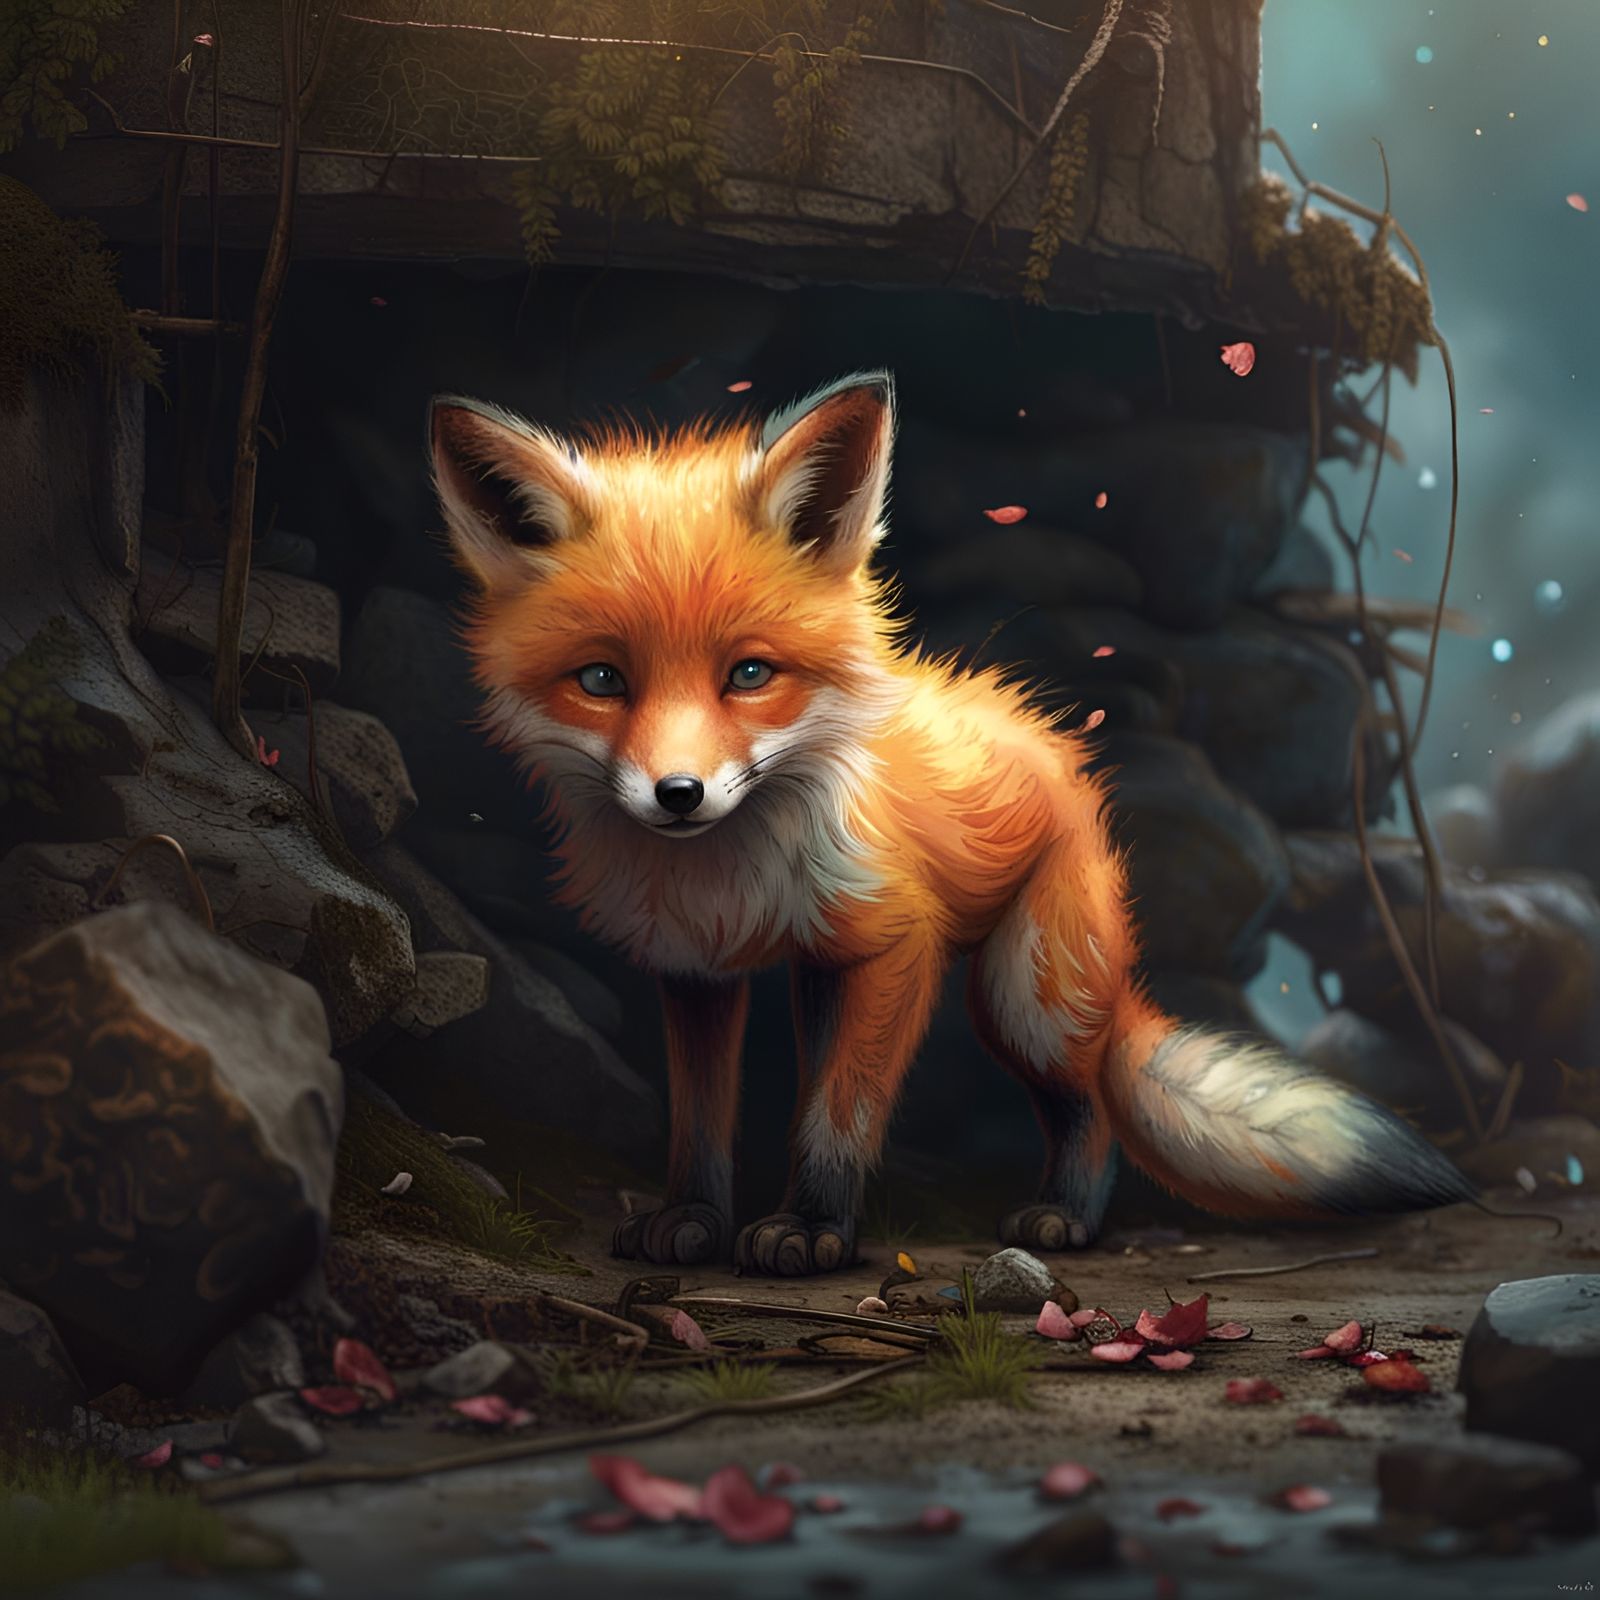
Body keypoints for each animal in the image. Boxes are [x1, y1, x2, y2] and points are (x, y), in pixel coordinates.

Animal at [427, 371, 1475, 1276]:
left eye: (751, 674)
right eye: (603, 680)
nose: (677, 794)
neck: (731, 877)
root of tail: (1058, 752)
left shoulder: (897, 944)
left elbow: (841, 1114)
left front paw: (812, 1229)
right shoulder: (698, 972)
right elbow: (699, 1118)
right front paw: (692, 1218)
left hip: (1024, 1000)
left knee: (1091, 1102)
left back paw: (1066, 1217)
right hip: (858, 978)